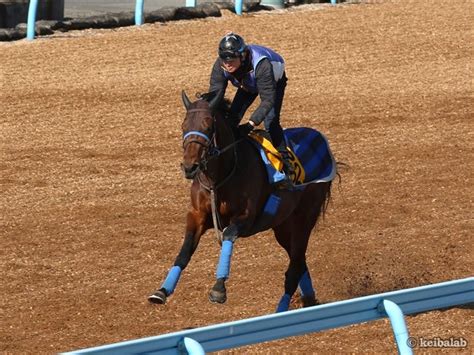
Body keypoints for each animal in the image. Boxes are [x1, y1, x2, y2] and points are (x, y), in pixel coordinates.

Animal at [149, 91, 334, 312]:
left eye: (208, 126)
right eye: (184, 126)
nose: (189, 167)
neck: (218, 179)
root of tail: (320, 139)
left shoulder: (245, 218)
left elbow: (228, 235)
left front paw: (219, 288)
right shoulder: (197, 215)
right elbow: (184, 251)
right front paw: (161, 291)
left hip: (304, 219)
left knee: (295, 267)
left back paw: (281, 310)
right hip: (282, 226)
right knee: (299, 260)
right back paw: (309, 299)